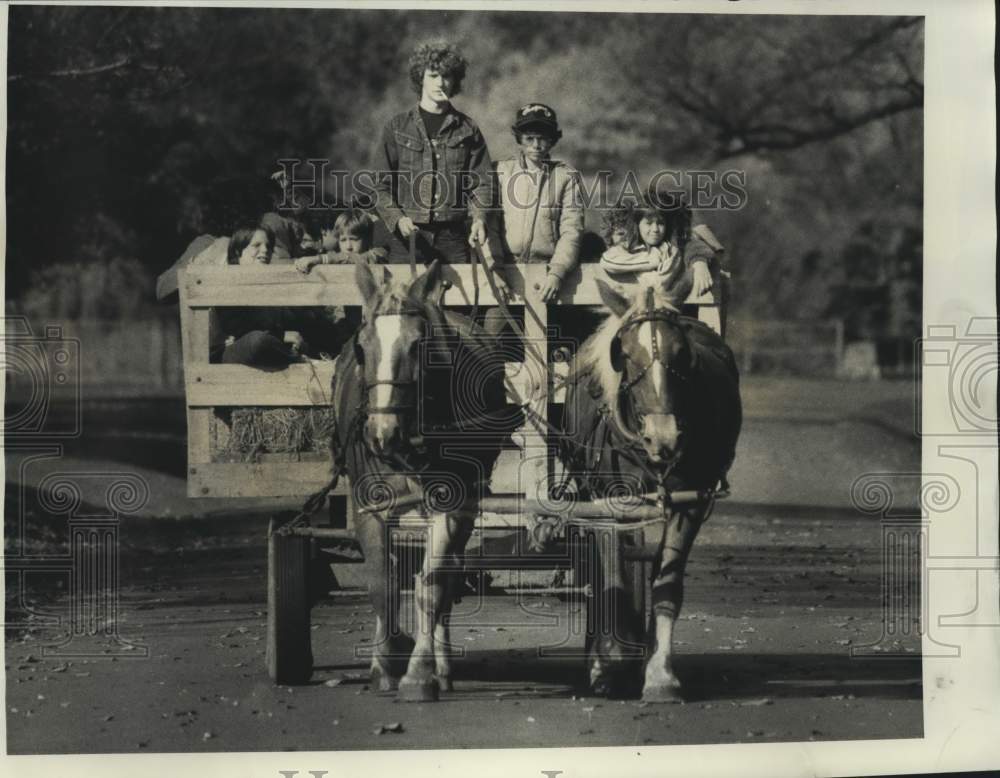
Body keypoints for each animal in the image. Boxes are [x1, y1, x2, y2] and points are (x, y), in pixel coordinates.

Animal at [330, 260, 516, 704]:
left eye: (418, 346)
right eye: (361, 348)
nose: (382, 433)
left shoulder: (450, 508)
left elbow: (431, 588)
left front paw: (419, 673)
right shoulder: (369, 509)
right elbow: (382, 582)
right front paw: (384, 663)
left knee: (446, 578)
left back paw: (441, 665)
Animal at [564, 276, 744, 700]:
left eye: (681, 352)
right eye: (625, 354)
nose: (663, 438)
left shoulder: (688, 503)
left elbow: (665, 583)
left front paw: (659, 673)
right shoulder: (607, 502)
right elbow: (612, 576)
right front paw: (610, 662)